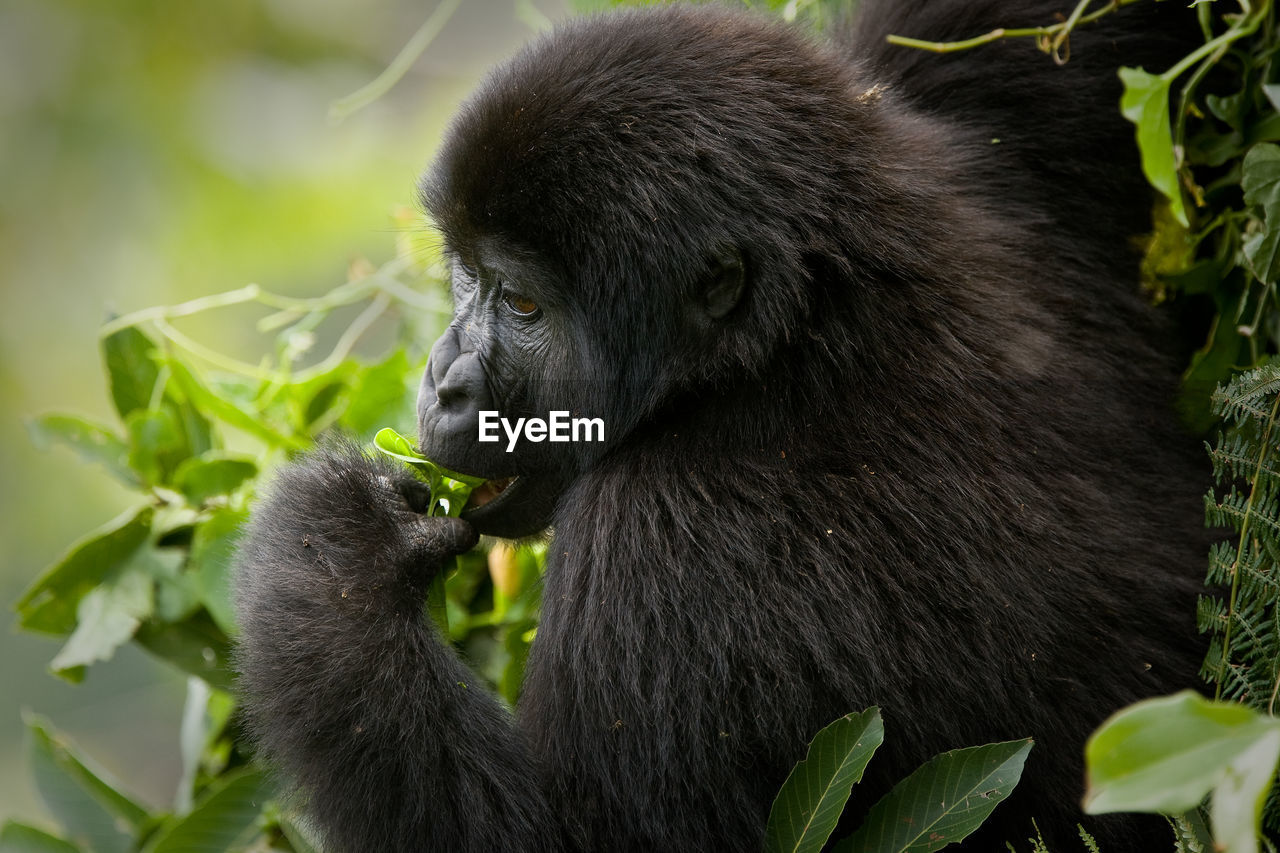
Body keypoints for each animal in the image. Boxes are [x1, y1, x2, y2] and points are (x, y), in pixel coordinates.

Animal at [232, 3, 1208, 845]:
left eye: (522, 301)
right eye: (466, 274)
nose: (443, 379)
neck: (796, 341)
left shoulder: (656, 542)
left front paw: (331, 560)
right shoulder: (939, 135)